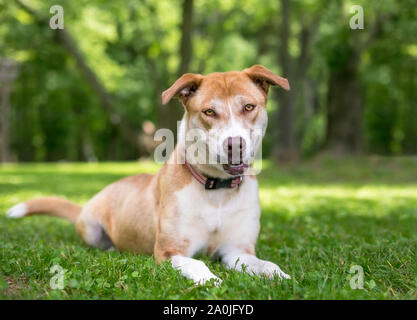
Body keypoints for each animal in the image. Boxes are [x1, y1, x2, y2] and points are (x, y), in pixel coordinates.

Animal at [8, 64, 290, 284]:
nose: (235, 144)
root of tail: (85, 206)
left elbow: (265, 264)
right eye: (209, 112)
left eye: (249, 107)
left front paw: (282, 276)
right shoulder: (169, 251)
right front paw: (209, 279)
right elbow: (196, 263)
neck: (216, 189)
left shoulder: (237, 249)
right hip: (91, 229)